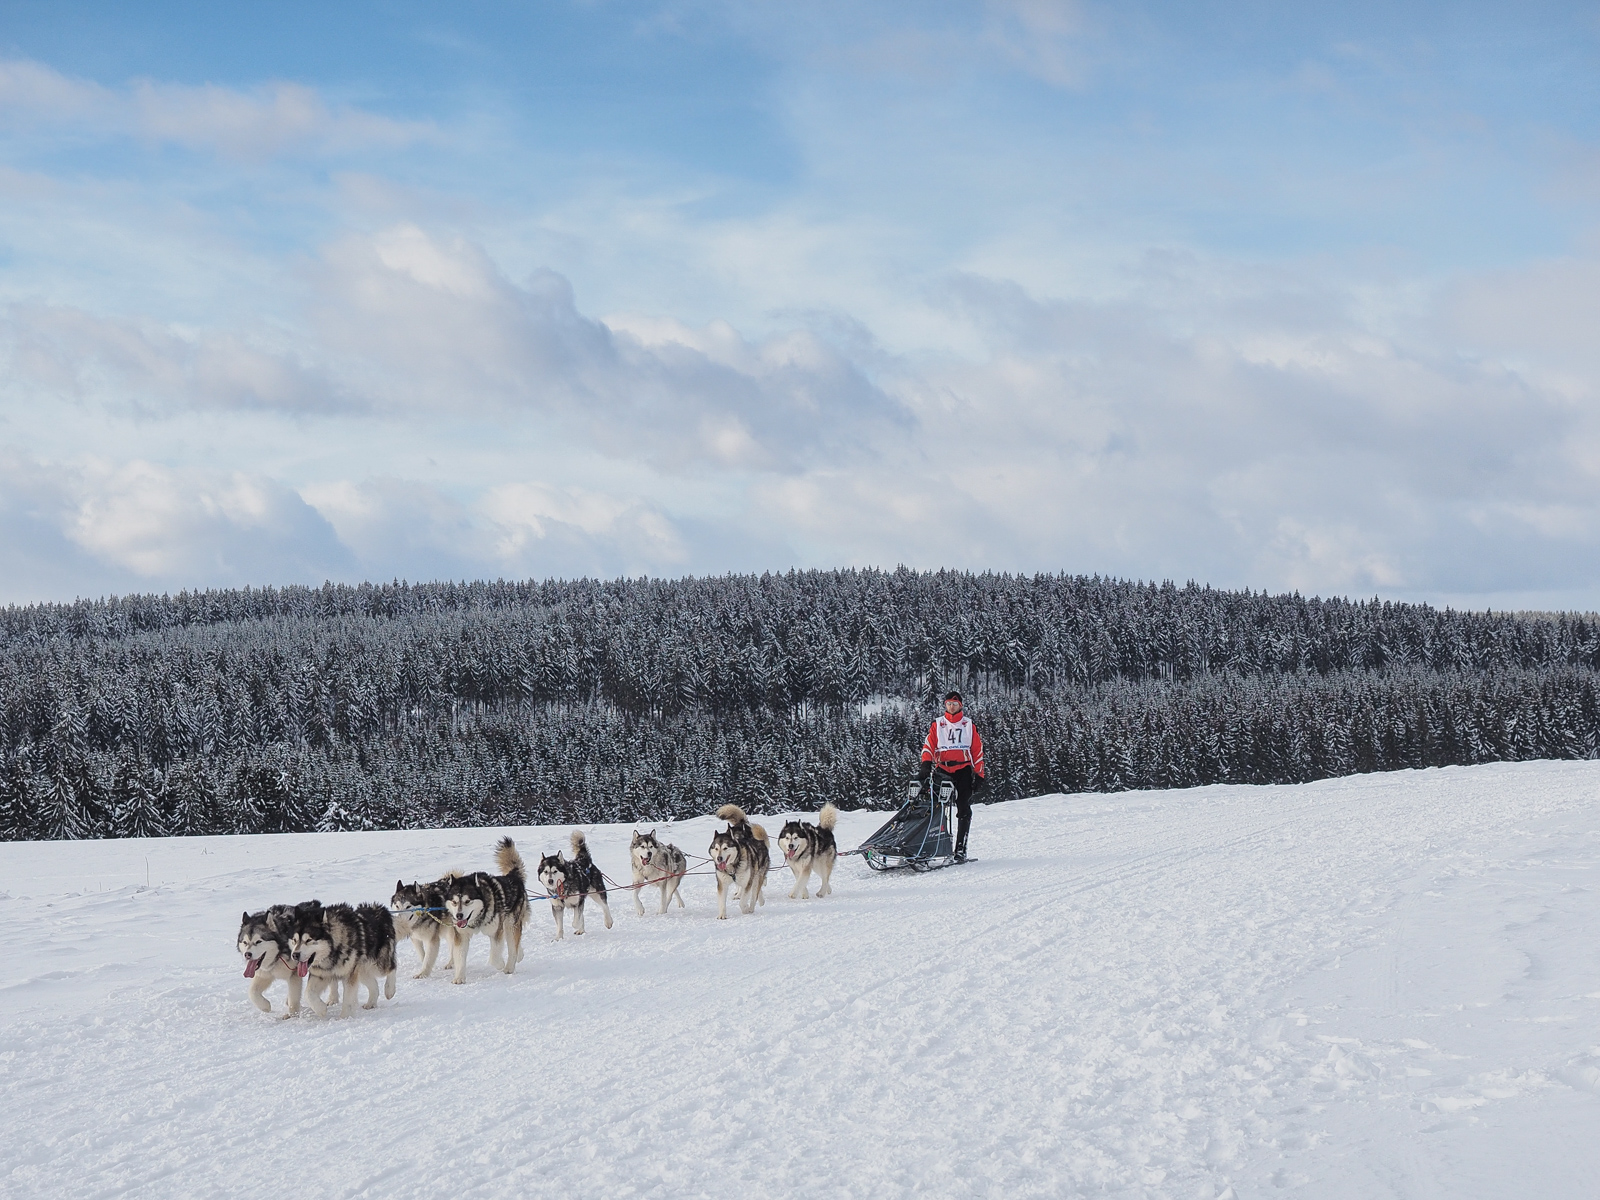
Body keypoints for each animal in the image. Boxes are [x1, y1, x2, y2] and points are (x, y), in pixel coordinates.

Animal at [442, 838, 530, 984]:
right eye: (454, 902)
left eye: (467, 901)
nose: (459, 916)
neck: (478, 917)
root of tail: (512, 877)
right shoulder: (461, 935)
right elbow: (459, 957)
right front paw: (459, 977)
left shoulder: (496, 932)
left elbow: (495, 957)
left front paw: (500, 964)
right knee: (516, 943)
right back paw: (520, 954)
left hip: (510, 923)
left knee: (512, 946)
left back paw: (509, 967)